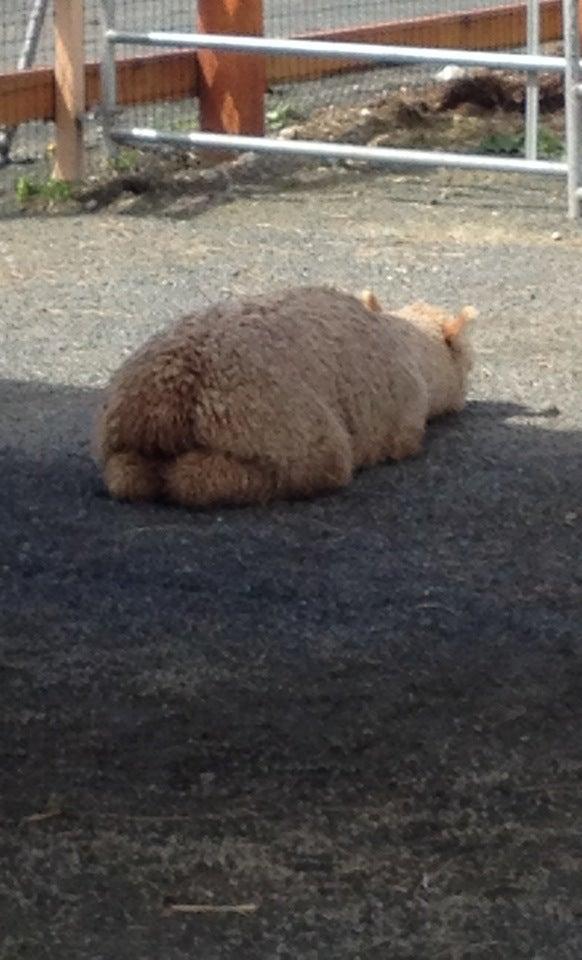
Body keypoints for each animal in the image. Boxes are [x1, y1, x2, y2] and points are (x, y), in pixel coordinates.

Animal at [93, 284, 476, 510]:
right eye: (470, 361)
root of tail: (166, 399)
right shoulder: (402, 423)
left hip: (121, 444)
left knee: (127, 474)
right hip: (282, 440)